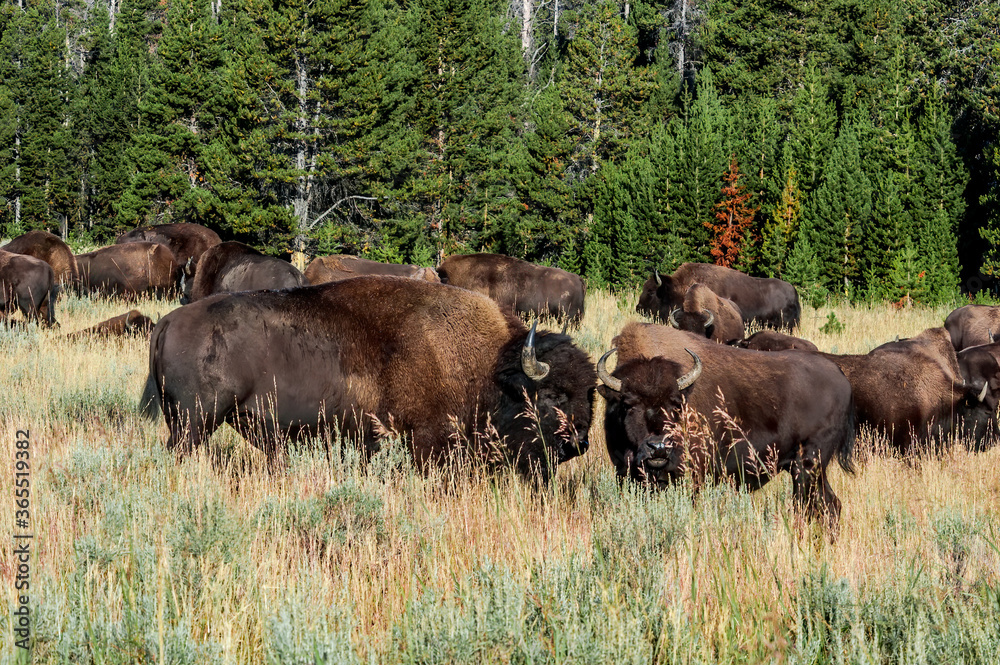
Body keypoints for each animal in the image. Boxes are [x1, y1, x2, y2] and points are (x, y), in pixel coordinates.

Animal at [140, 276, 592, 482]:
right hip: (195, 421)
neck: (491, 367)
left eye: (592, 394)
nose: (579, 445)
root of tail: (168, 322)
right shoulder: (428, 441)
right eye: (552, 395)